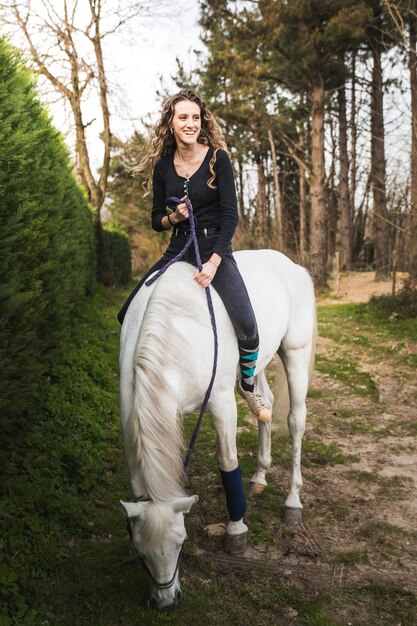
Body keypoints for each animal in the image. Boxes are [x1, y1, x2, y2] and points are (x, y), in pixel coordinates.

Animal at [119, 247, 316, 604]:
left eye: (180, 544)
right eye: (140, 552)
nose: (166, 601)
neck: (177, 332)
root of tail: (293, 266)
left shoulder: (222, 402)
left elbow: (227, 462)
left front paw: (236, 531)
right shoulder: (130, 409)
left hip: (294, 353)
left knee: (296, 420)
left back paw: (292, 503)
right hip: (258, 364)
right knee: (265, 406)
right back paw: (260, 476)